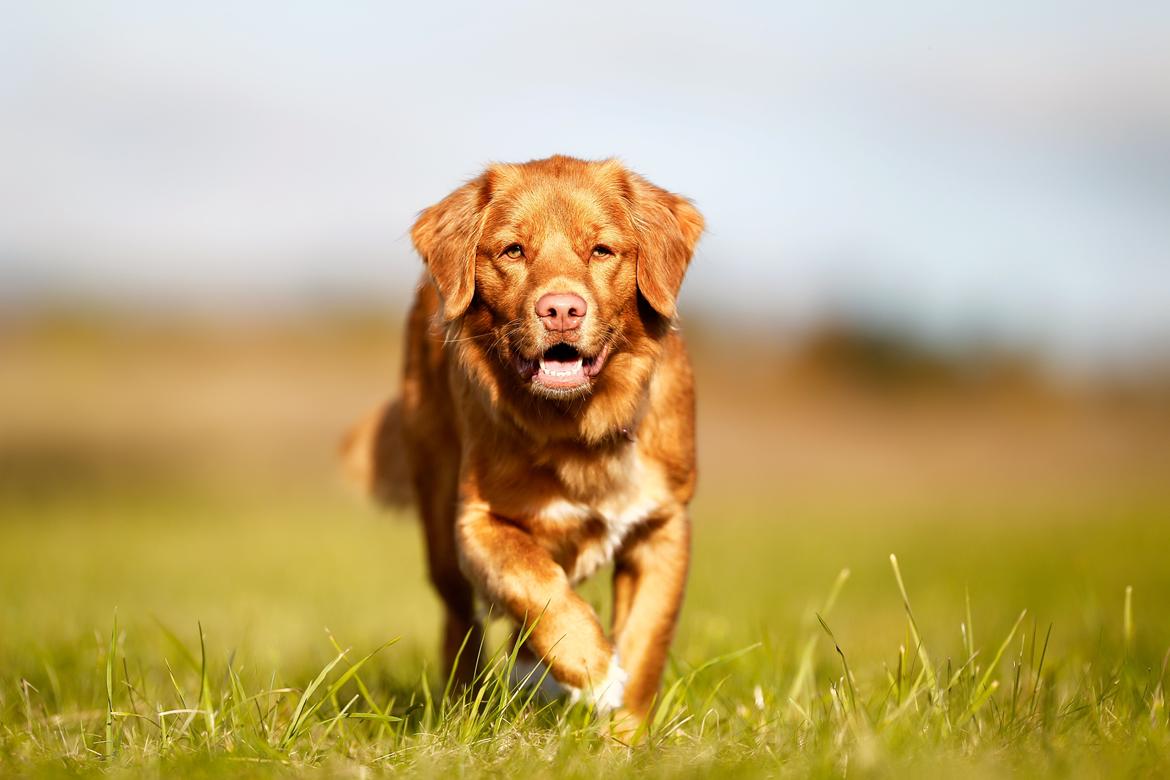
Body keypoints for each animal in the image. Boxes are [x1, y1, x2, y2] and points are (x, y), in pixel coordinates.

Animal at [341, 155, 702, 729]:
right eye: (513, 250)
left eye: (602, 250)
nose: (561, 310)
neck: (576, 426)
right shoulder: (478, 520)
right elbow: (533, 583)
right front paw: (593, 669)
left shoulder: (663, 524)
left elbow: (647, 642)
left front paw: (623, 737)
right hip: (438, 511)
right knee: (460, 620)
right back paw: (466, 704)